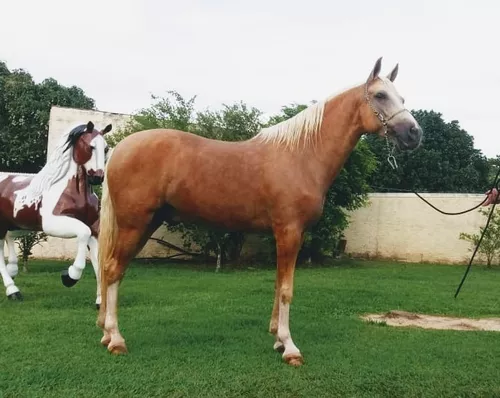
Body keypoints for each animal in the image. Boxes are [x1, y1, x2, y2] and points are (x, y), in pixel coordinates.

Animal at [0, 122, 111, 308]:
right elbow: (83, 233)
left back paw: (13, 269)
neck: (75, 194)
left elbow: (97, 262)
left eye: (106, 148)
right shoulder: (53, 223)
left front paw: (100, 302)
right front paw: (69, 276)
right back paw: (13, 291)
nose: (97, 178)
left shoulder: (95, 228)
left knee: (9, 240)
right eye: (90, 146)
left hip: (18, 226)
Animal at [96, 57, 422, 366]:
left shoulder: (286, 235)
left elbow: (278, 285)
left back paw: (107, 335)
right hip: (134, 224)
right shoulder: (289, 232)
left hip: (146, 224)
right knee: (112, 270)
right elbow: (287, 289)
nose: (414, 133)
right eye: (380, 95)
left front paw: (277, 339)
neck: (302, 154)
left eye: (401, 97)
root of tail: (121, 148)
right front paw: (290, 348)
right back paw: (116, 339)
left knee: (116, 271)